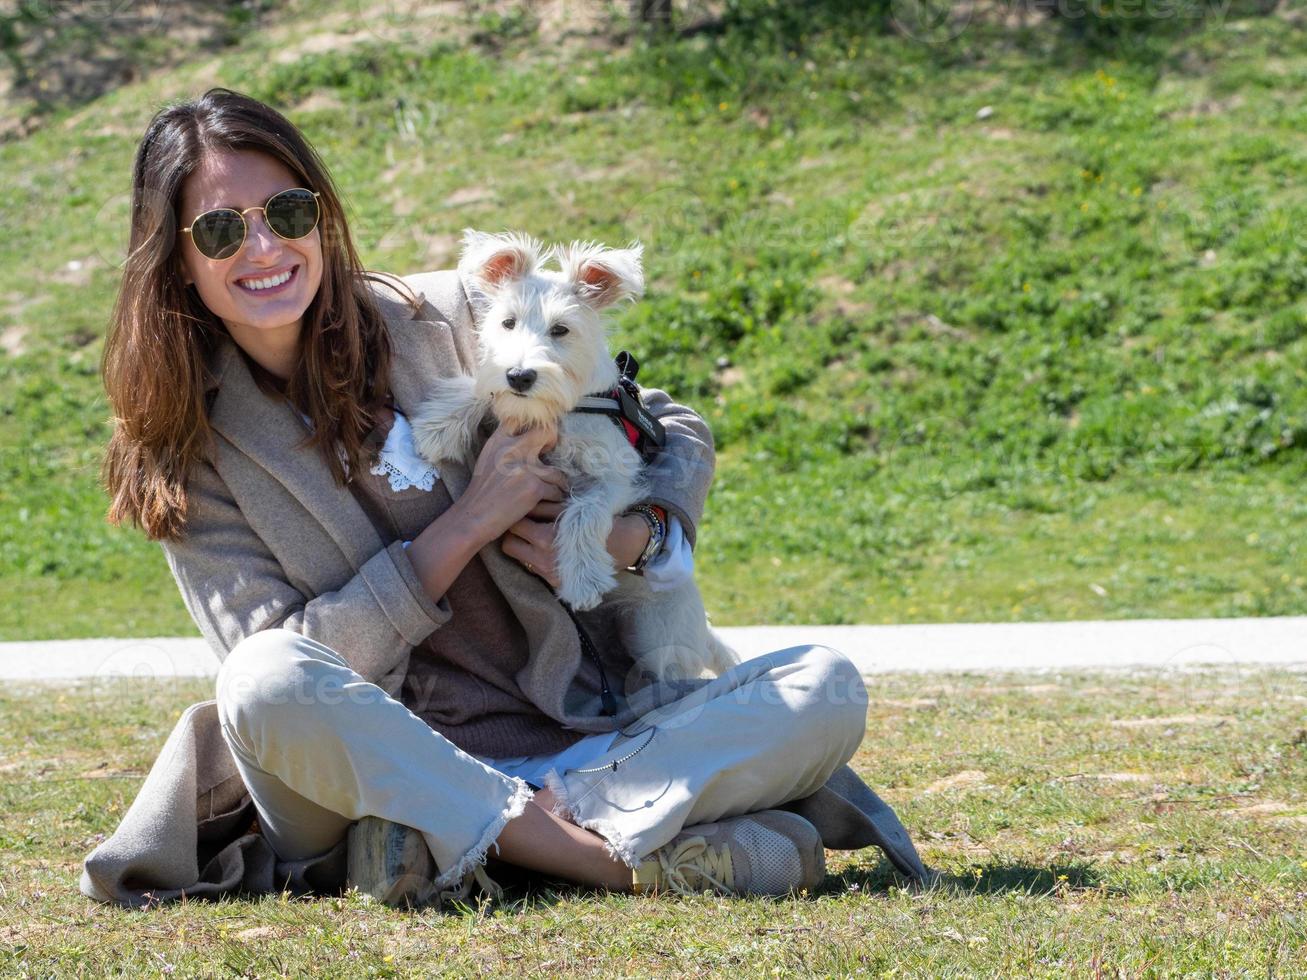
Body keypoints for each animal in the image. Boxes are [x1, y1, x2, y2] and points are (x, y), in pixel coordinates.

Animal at [410, 229, 737, 684]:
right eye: (507, 322)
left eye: (561, 329)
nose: (520, 376)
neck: (562, 408)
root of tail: (705, 632)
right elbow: (480, 388)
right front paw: (437, 428)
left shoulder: (615, 477)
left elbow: (583, 513)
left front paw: (582, 580)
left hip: (655, 634)